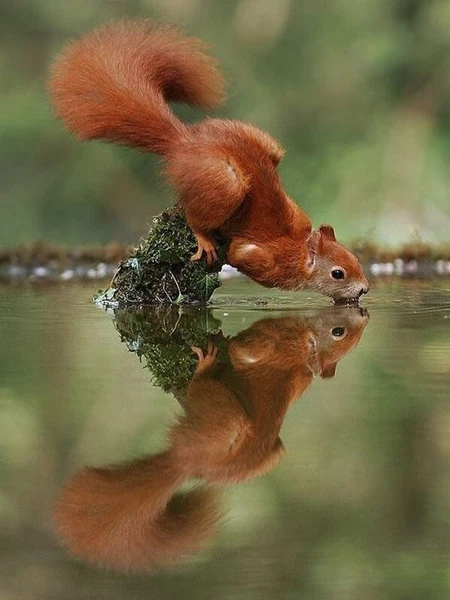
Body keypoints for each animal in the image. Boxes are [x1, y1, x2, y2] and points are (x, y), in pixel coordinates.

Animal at [49, 19, 370, 302]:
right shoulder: (256, 255)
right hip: (225, 183)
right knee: (196, 214)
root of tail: (184, 142)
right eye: (338, 274)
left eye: (356, 258)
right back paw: (204, 238)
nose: (365, 289)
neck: (297, 247)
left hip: (268, 147)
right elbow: (239, 254)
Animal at [53, 310, 370, 572]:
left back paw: (203, 368)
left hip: (227, 418)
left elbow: (240, 351)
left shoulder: (269, 344)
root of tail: (186, 461)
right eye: (340, 333)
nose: (364, 314)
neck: (303, 352)